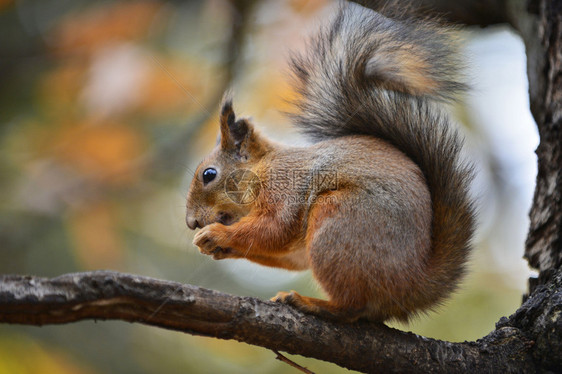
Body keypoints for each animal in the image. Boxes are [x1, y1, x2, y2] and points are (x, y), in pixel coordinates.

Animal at [184, 2, 472, 322]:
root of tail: (412, 285)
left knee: (352, 307)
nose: (191, 222)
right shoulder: (294, 246)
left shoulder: (285, 187)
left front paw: (217, 234)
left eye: (209, 174)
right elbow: (287, 254)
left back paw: (311, 303)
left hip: (339, 223)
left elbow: (275, 228)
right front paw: (219, 247)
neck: (263, 168)